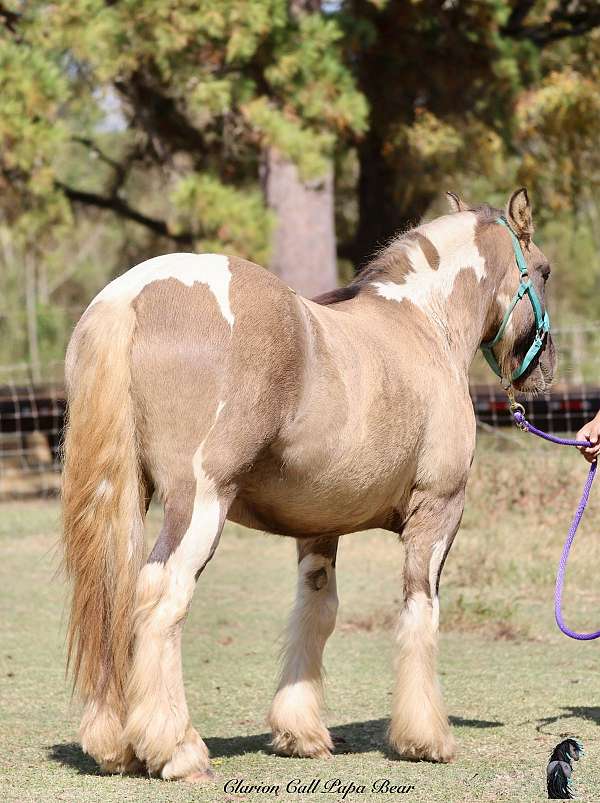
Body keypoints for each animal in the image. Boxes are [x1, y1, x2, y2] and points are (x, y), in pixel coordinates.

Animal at [63, 188, 556, 780]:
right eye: (545, 271)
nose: (544, 370)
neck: (423, 324)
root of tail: (130, 295)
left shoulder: (320, 526)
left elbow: (316, 612)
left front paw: (300, 734)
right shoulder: (439, 511)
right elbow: (421, 609)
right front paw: (425, 739)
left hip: (125, 496)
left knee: (111, 593)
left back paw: (114, 745)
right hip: (199, 503)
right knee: (162, 595)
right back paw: (176, 749)